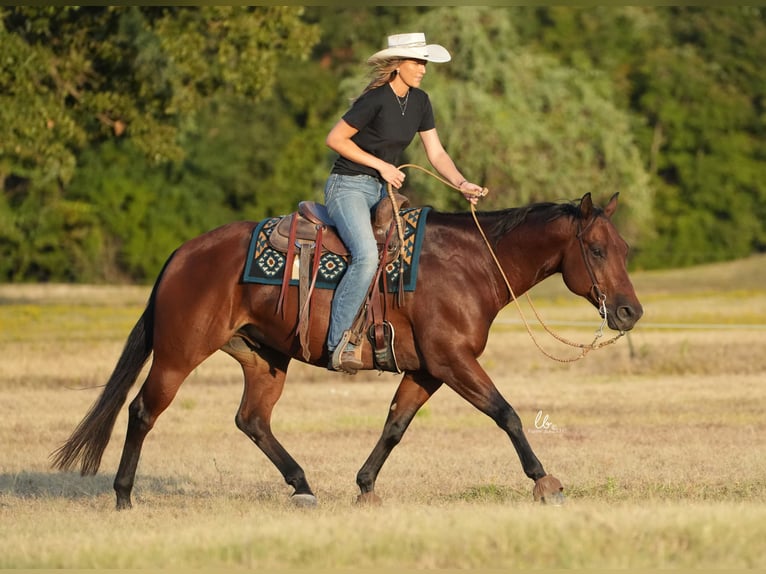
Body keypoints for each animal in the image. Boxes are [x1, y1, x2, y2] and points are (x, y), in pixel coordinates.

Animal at [51, 192, 644, 508]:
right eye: (595, 249)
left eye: (623, 247)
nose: (629, 313)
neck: (471, 266)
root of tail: (182, 254)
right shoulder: (453, 361)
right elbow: (507, 413)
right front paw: (545, 481)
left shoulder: (427, 370)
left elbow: (395, 426)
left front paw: (364, 487)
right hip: (179, 353)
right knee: (142, 411)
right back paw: (124, 495)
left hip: (264, 358)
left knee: (252, 420)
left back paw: (302, 486)